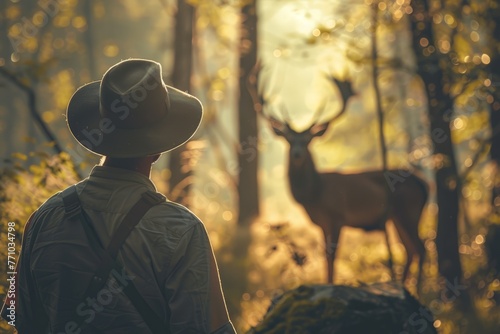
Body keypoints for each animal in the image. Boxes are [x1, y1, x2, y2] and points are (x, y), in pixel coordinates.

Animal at [260, 77, 428, 290]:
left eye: (308, 140)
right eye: (289, 140)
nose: (297, 154)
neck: (315, 194)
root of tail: (426, 185)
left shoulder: (338, 217)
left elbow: (333, 256)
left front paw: (331, 284)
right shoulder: (322, 223)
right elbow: (325, 256)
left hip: (408, 210)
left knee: (420, 247)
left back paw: (419, 290)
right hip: (396, 216)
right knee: (410, 249)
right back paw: (403, 285)